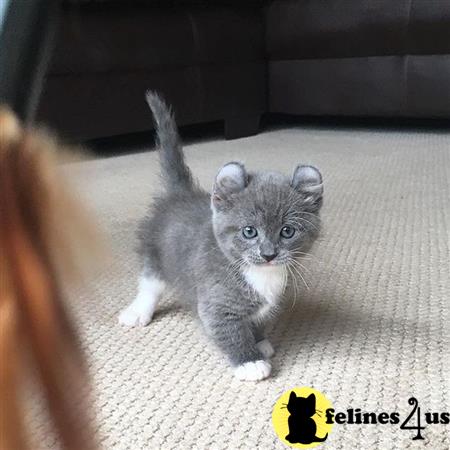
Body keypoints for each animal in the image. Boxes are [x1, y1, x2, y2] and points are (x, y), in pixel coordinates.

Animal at [119, 93, 324, 382]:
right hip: (154, 251)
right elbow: (229, 331)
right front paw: (250, 361)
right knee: (150, 283)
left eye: (287, 231)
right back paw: (138, 311)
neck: (260, 274)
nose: (268, 253)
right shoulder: (215, 303)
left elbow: (258, 320)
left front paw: (259, 341)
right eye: (249, 231)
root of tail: (180, 194)